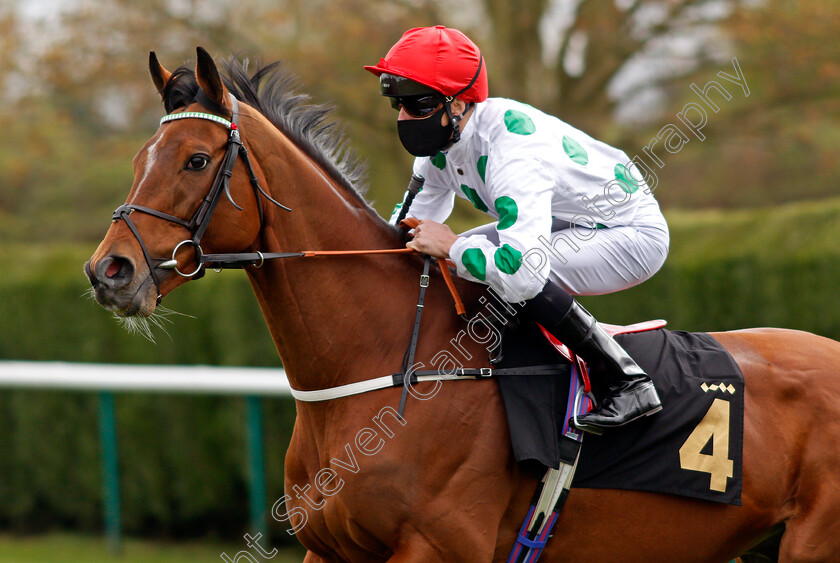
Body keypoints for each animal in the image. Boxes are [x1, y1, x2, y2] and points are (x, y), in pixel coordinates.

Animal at [83, 49, 840, 563]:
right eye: (143, 156)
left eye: (196, 160)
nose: (108, 271)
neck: (393, 362)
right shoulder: (330, 548)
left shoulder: (438, 546)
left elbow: (518, 255)